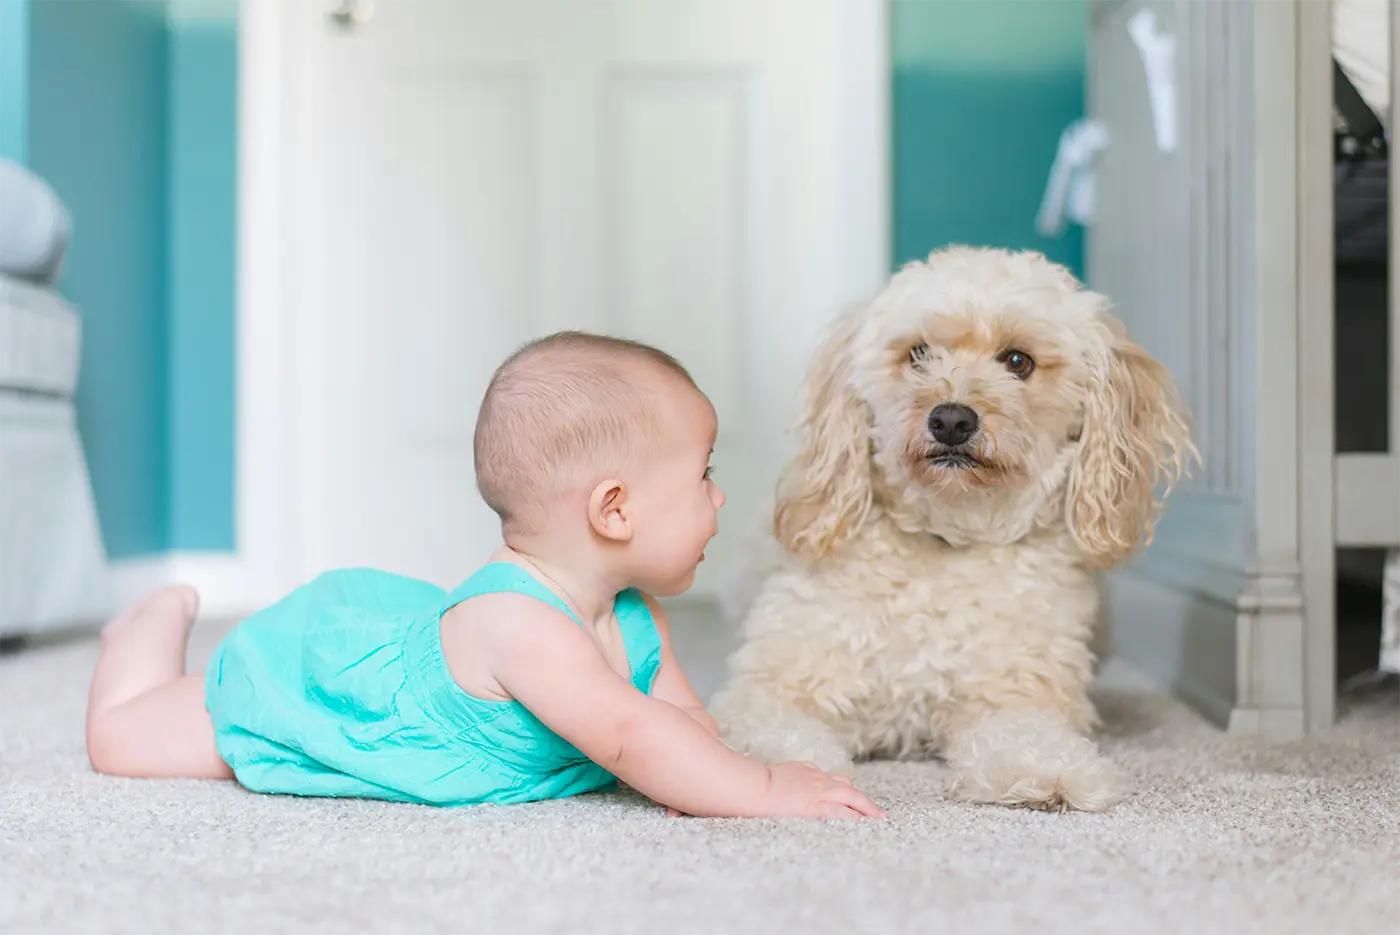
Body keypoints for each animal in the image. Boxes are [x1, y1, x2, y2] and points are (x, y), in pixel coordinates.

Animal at [705, 246, 1198, 811]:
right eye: (918, 353)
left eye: (1018, 361)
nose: (952, 421)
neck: (948, 537)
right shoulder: (772, 688)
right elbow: (773, 734)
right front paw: (787, 777)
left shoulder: (1015, 693)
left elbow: (1025, 735)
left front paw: (1048, 771)